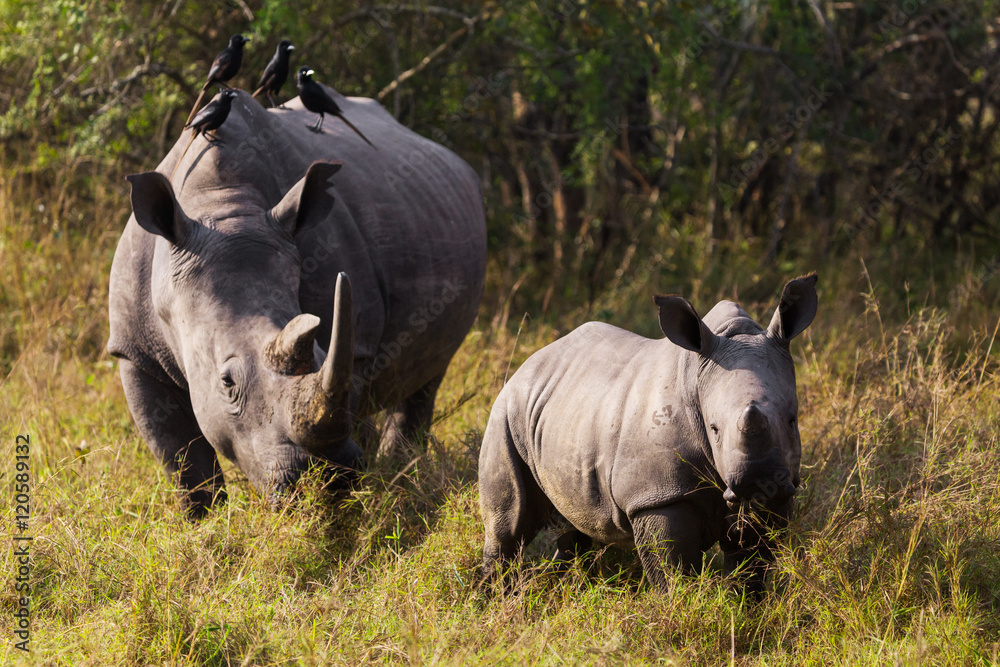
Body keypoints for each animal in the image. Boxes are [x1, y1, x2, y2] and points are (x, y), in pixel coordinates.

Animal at [108, 89, 486, 516]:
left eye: (321, 351)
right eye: (227, 382)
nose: (320, 476)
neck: (220, 205)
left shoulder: (356, 346)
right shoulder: (134, 352)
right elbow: (185, 464)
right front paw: (205, 523)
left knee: (429, 374)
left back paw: (399, 473)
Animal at [478, 275, 817, 593]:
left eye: (792, 421)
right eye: (714, 429)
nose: (758, 481)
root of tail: (529, 361)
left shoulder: (780, 489)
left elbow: (751, 566)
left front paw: (745, 607)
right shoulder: (656, 496)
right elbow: (673, 570)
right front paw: (681, 606)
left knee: (575, 526)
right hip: (507, 411)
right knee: (509, 525)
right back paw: (495, 597)